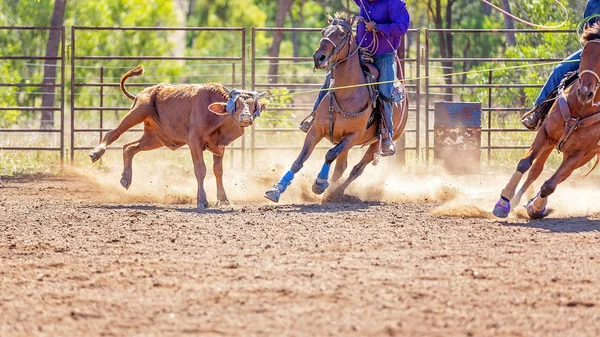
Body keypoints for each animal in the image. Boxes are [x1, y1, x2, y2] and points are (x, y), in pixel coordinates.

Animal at [89, 65, 264, 207]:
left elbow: (218, 170)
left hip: (155, 138)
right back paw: (96, 152)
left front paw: (223, 199)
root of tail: (143, 92)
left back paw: (126, 178)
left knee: (129, 148)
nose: (246, 118)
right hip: (137, 112)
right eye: (237, 104)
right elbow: (200, 169)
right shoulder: (194, 141)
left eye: (253, 106)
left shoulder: (219, 145)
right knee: (113, 133)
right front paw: (202, 200)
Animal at [264, 13, 410, 201]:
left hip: (375, 143)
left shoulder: (352, 137)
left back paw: (336, 192)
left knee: (357, 168)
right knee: (342, 166)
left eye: (341, 34)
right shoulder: (316, 130)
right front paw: (276, 189)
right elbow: (300, 159)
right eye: (323, 31)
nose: (318, 57)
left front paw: (319, 183)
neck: (347, 93)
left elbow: (330, 154)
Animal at [496, 23, 600, 218]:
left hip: (585, 154)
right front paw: (503, 202)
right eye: (583, 54)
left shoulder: (579, 153)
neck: (580, 109)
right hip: (552, 142)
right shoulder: (545, 133)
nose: (584, 92)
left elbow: (550, 185)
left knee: (559, 177)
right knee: (535, 170)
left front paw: (535, 207)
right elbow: (525, 164)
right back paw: (515, 201)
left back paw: (535, 205)